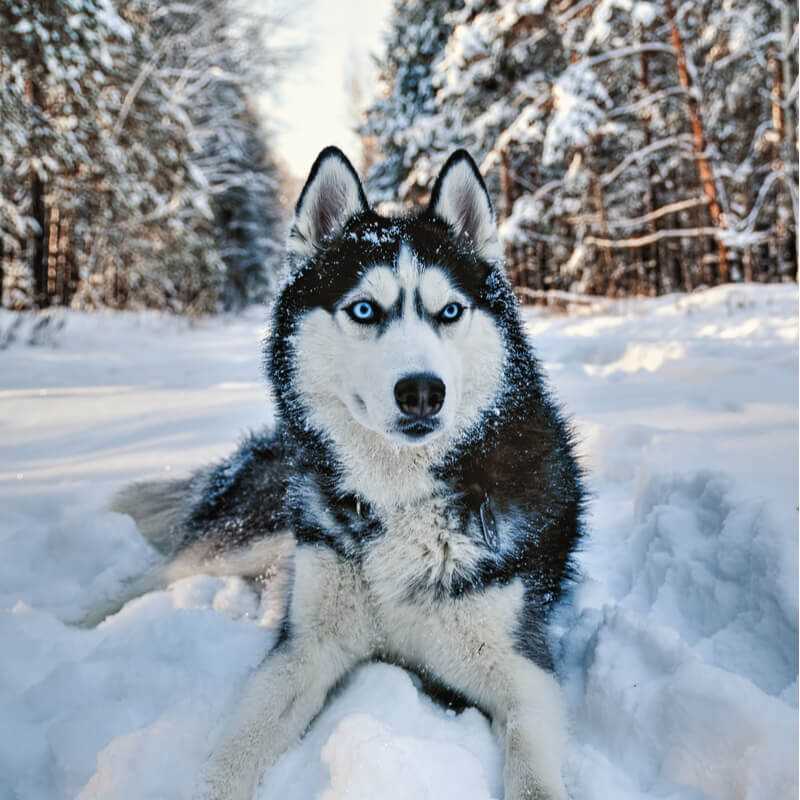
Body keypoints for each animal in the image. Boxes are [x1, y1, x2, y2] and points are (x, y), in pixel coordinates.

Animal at [112, 147, 584, 796]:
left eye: (450, 311)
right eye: (364, 309)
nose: (421, 391)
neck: (401, 500)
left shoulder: (523, 672)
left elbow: (534, 773)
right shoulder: (304, 651)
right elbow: (231, 756)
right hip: (255, 534)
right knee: (153, 576)